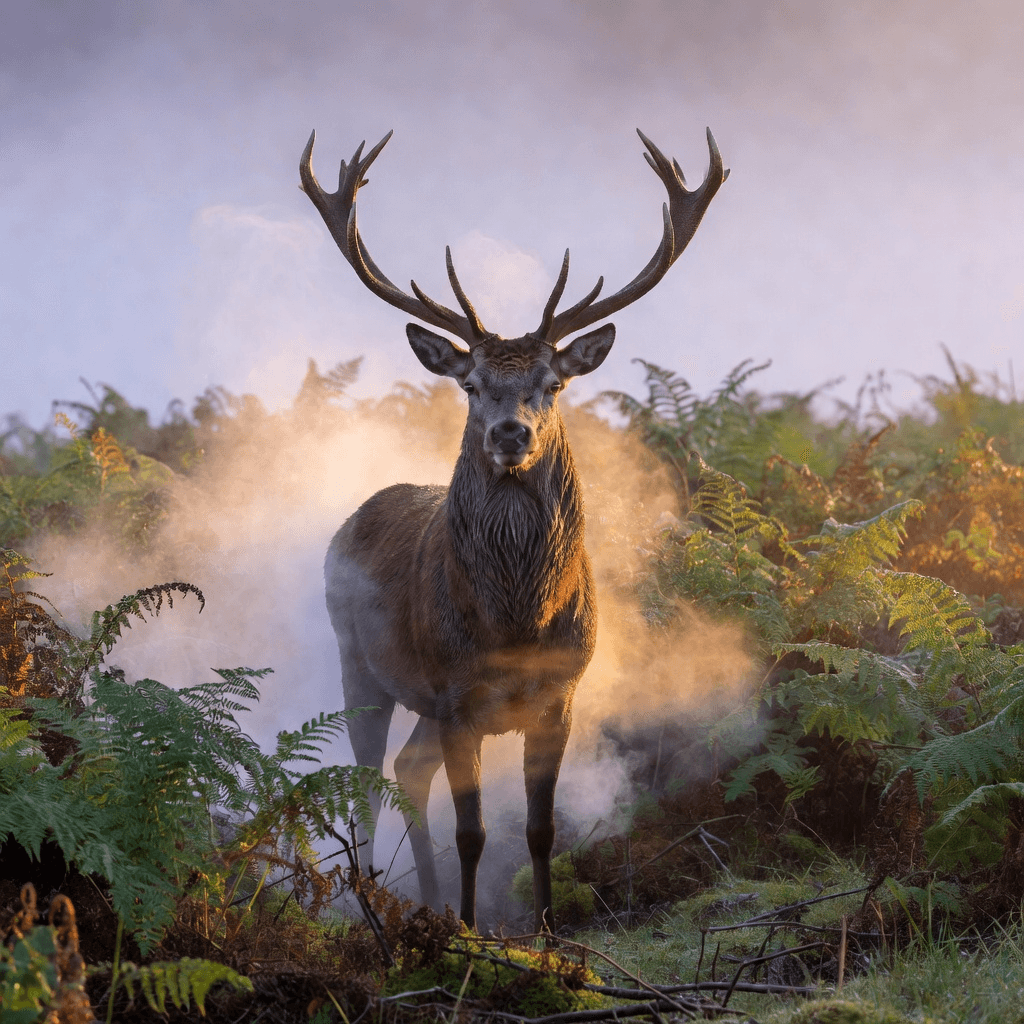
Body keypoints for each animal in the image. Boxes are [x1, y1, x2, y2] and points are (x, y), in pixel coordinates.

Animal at [300, 127, 727, 932]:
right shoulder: (456, 696)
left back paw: (428, 902)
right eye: (471, 386)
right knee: (367, 777)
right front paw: (471, 932)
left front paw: (550, 931)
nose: (509, 434)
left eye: (551, 384)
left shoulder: (560, 695)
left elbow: (540, 828)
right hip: (359, 661)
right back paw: (381, 904)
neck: (517, 622)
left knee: (407, 769)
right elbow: (473, 831)